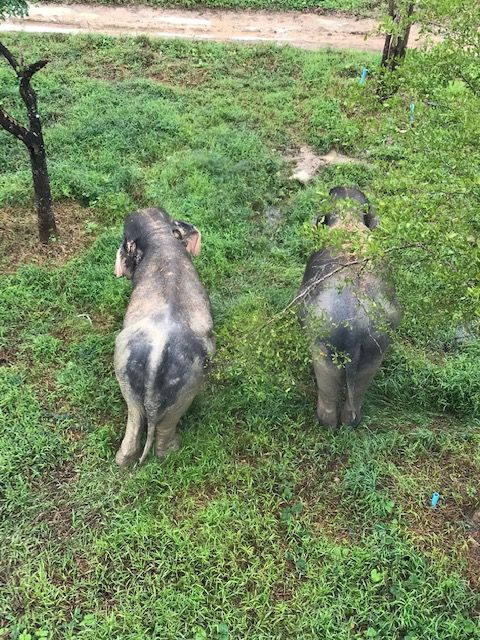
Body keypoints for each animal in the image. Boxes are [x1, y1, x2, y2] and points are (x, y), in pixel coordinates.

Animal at [113, 210, 214, 464]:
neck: (159, 236)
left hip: (127, 366)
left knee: (135, 414)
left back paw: (124, 461)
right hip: (190, 380)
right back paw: (172, 452)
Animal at [298, 189, 400, 430]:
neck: (349, 219)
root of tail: (356, 330)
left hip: (325, 344)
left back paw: (326, 424)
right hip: (376, 346)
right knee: (363, 382)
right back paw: (351, 422)